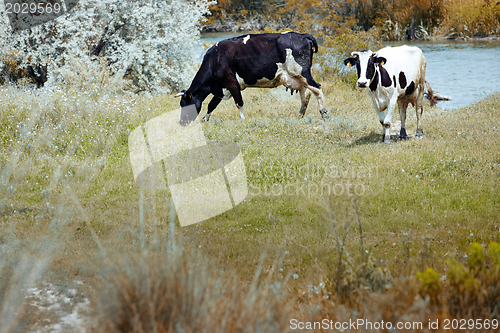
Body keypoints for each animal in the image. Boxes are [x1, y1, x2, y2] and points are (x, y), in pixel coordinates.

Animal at [176, 31, 328, 120]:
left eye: (183, 103)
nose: (182, 122)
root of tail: (301, 35)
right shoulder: (221, 88)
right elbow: (211, 105)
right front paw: (205, 120)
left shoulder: (231, 82)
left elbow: (239, 102)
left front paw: (242, 120)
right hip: (298, 77)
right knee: (306, 94)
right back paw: (300, 116)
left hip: (300, 72)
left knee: (317, 89)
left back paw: (324, 113)